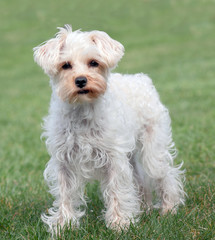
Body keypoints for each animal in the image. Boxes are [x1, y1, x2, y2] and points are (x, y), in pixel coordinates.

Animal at [33, 25, 185, 233]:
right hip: (130, 155)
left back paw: (169, 208)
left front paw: (119, 223)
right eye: (65, 65)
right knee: (140, 180)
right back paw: (143, 208)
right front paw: (64, 224)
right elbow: (65, 193)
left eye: (93, 62)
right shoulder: (63, 160)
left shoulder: (113, 158)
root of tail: (141, 79)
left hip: (152, 150)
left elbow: (116, 190)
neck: (83, 111)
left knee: (165, 174)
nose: (81, 80)